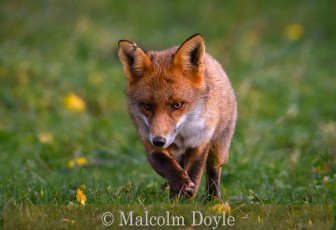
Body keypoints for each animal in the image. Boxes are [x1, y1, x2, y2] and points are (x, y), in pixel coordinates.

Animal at [119, 33, 238, 200]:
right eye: (147, 106)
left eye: (177, 105)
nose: (159, 141)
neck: (181, 136)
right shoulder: (150, 143)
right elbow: (168, 167)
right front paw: (178, 191)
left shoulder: (200, 142)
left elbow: (194, 173)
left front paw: (187, 194)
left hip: (220, 149)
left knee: (213, 174)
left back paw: (213, 200)